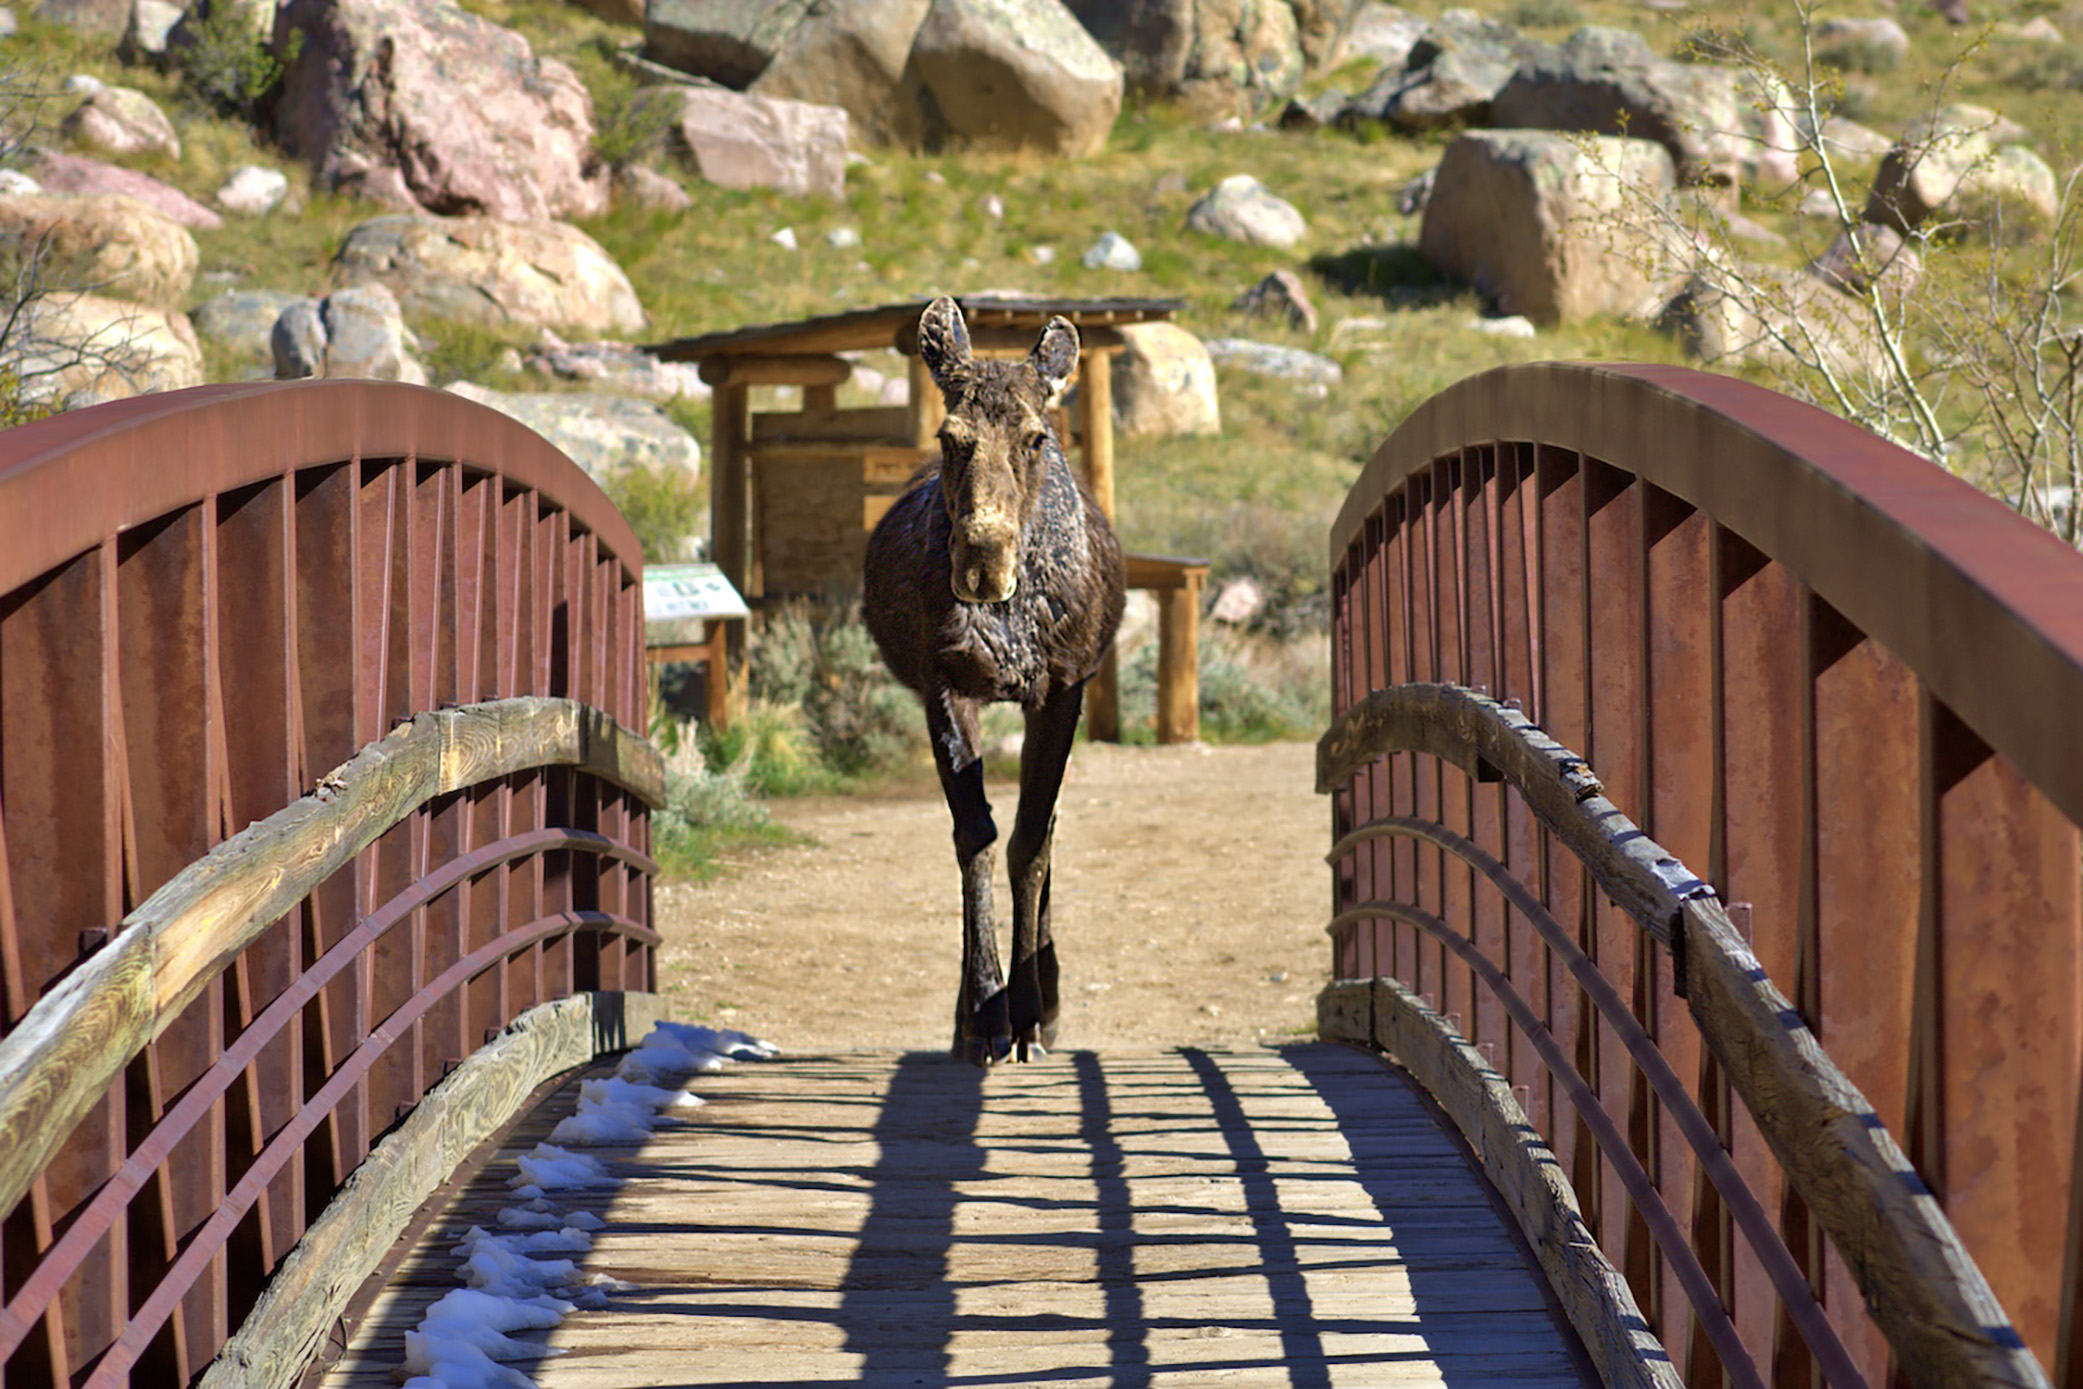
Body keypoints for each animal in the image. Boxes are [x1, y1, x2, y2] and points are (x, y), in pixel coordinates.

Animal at [862, 296, 1127, 1067]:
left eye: (1036, 437)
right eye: (950, 437)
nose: (983, 560)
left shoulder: (1062, 687)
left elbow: (1031, 838)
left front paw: (1031, 1011)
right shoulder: (944, 684)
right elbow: (974, 836)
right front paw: (982, 1011)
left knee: (1050, 831)